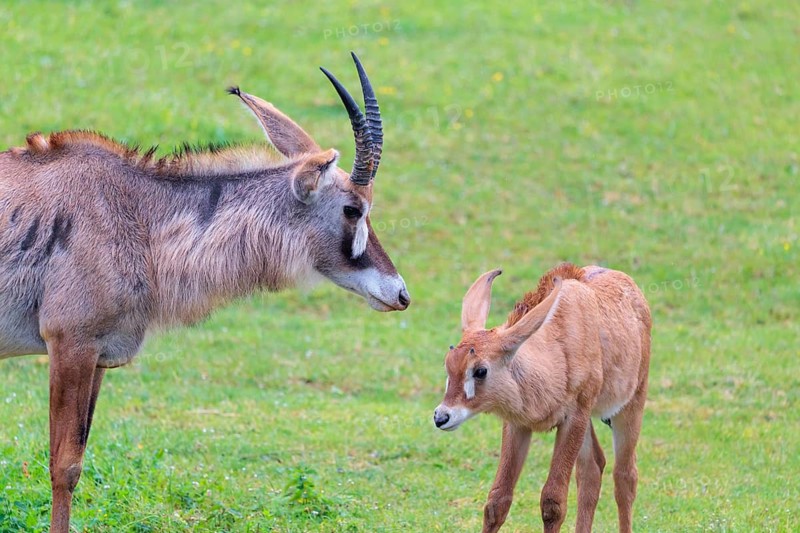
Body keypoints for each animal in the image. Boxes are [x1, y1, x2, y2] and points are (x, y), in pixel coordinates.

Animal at [0, 53, 410, 533]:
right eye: (353, 209)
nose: (400, 293)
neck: (137, 213)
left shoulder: (97, 357)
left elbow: (77, 457)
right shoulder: (70, 346)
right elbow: (63, 467)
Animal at [433, 263, 651, 533]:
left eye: (480, 370)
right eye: (448, 365)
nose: (441, 417)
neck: (554, 351)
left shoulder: (573, 419)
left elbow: (553, 502)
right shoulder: (517, 425)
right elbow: (497, 500)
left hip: (630, 404)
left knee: (625, 476)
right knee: (591, 469)